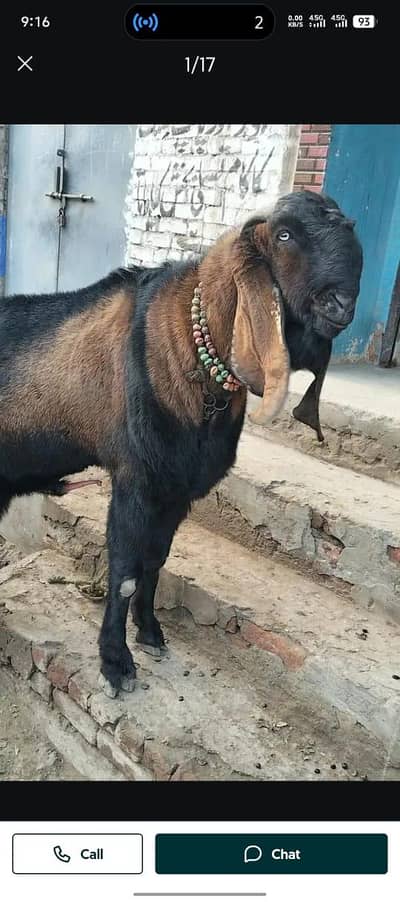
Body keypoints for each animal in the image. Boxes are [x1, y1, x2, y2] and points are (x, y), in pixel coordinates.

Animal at [0, 190, 362, 697]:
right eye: (285, 234)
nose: (341, 305)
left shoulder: (176, 490)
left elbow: (155, 561)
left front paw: (151, 634)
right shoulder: (136, 479)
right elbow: (126, 572)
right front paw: (116, 664)